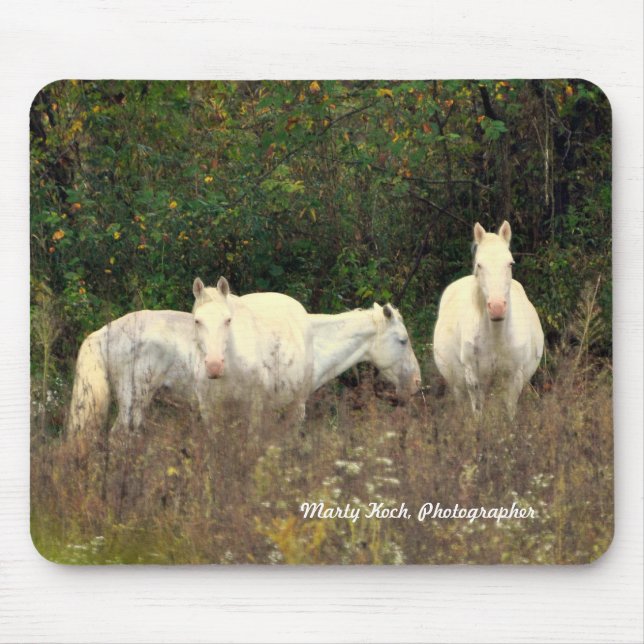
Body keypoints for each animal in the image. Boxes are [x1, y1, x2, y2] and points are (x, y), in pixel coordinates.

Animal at [433, 221, 544, 418]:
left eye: (510, 263)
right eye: (479, 265)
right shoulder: (474, 379)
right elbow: (478, 414)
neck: (497, 337)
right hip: (458, 386)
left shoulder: (514, 379)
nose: (497, 307)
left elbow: (510, 413)